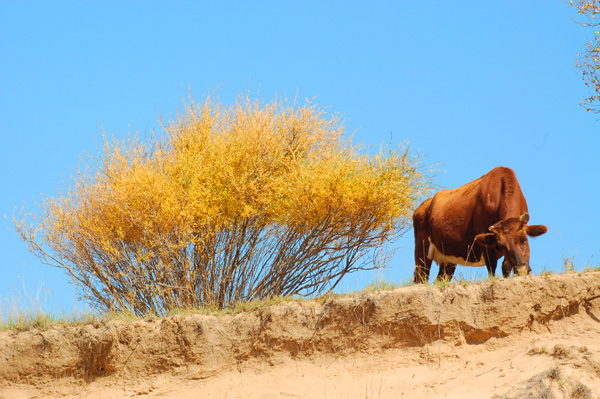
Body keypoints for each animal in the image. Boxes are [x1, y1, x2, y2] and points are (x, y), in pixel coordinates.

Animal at [412, 166, 548, 284]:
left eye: (524, 239)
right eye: (501, 246)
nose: (521, 269)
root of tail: (422, 206)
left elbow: (505, 267)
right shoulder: (485, 241)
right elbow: (492, 265)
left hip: (449, 258)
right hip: (422, 251)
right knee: (420, 278)